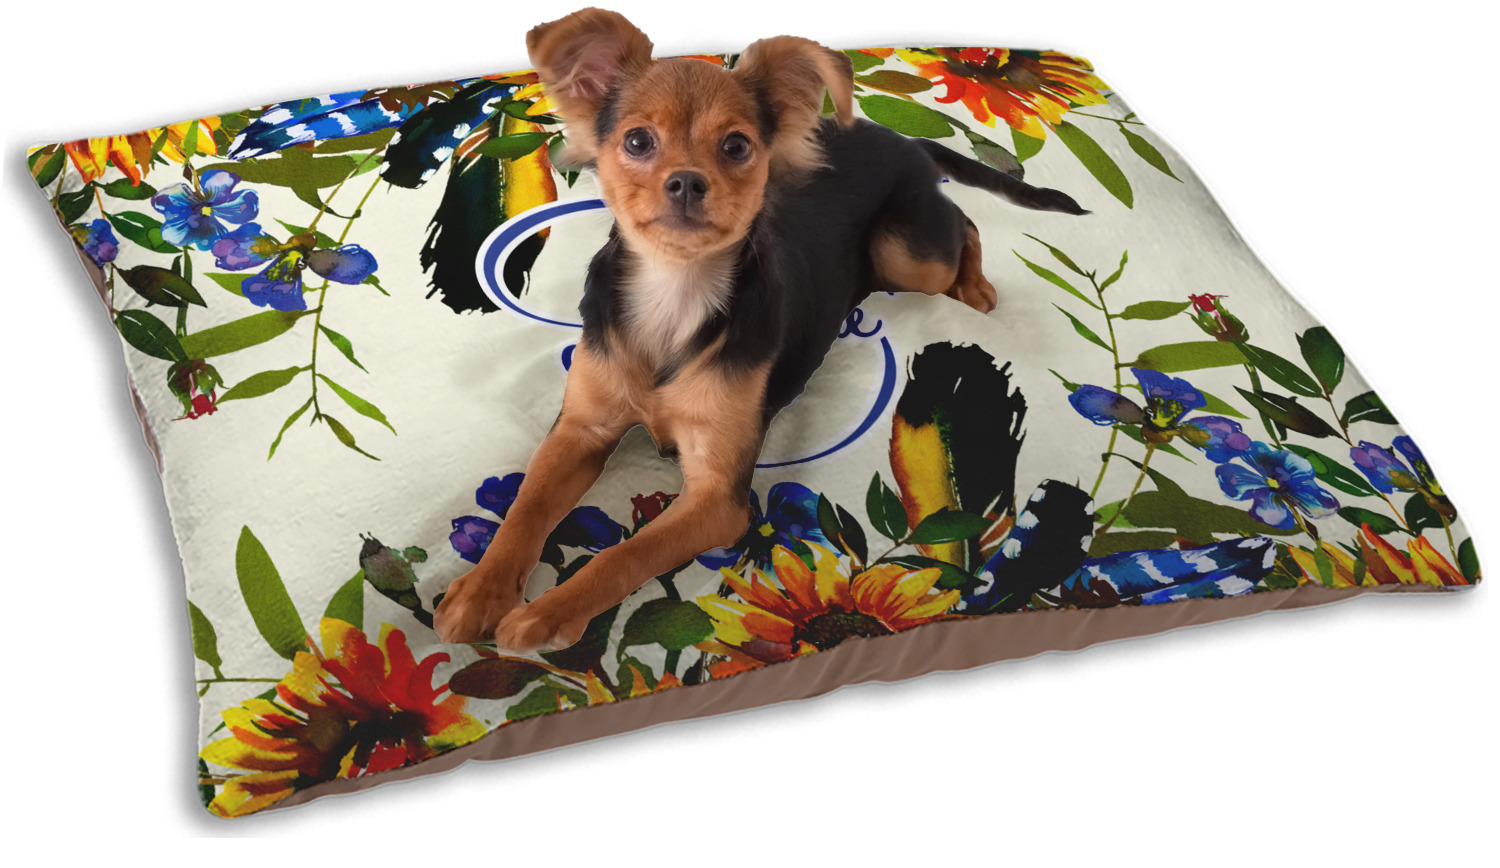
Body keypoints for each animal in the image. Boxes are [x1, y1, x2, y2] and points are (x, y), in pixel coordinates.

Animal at [433, 7, 1087, 651]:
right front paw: (480, 591)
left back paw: (975, 288)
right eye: (638, 141)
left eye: (736, 146)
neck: (675, 295)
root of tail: (899, 139)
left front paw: (549, 611)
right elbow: (526, 505)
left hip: (907, 253)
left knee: (963, 225)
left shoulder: (719, 498)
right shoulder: (581, 429)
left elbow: (624, 554)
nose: (687, 181)